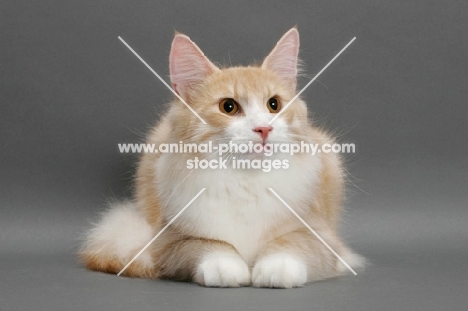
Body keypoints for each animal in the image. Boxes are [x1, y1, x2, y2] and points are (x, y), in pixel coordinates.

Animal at [80, 28, 364, 288]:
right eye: (229, 107)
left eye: (274, 105)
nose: (264, 129)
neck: (245, 182)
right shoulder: (169, 241)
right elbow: (210, 245)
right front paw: (228, 268)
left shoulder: (322, 236)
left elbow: (290, 245)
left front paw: (275, 270)